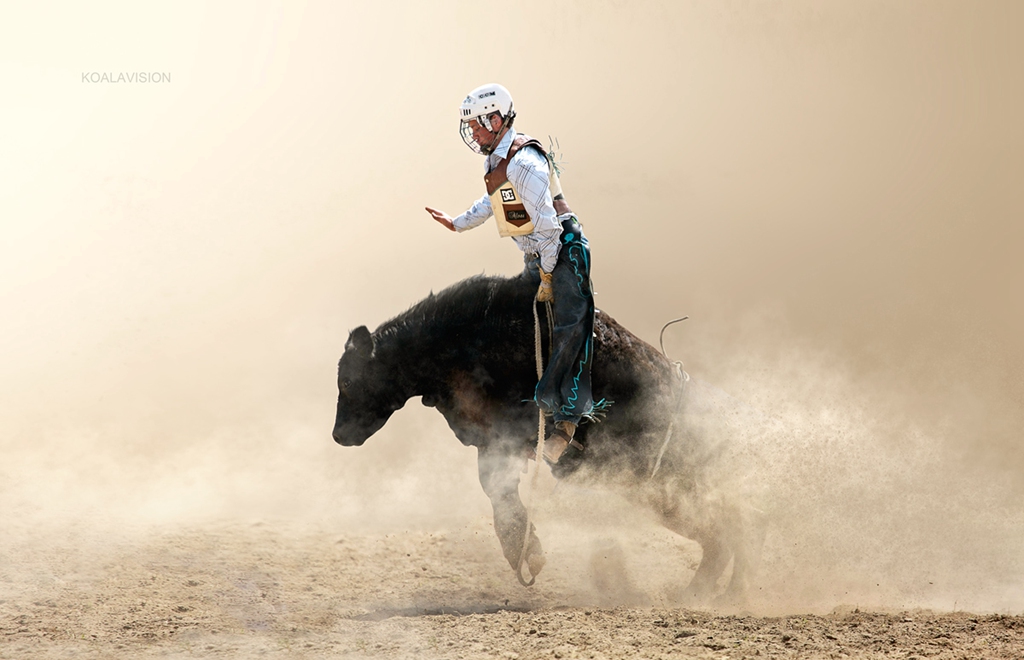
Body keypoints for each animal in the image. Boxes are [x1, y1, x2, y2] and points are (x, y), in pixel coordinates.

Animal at [335, 272, 770, 601]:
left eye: (348, 380)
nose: (339, 435)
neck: (463, 339)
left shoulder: (510, 429)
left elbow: (497, 485)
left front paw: (525, 550)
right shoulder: (491, 440)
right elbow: (496, 489)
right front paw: (524, 551)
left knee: (738, 534)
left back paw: (727, 596)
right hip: (672, 500)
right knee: (724, 538)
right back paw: (707, 595)